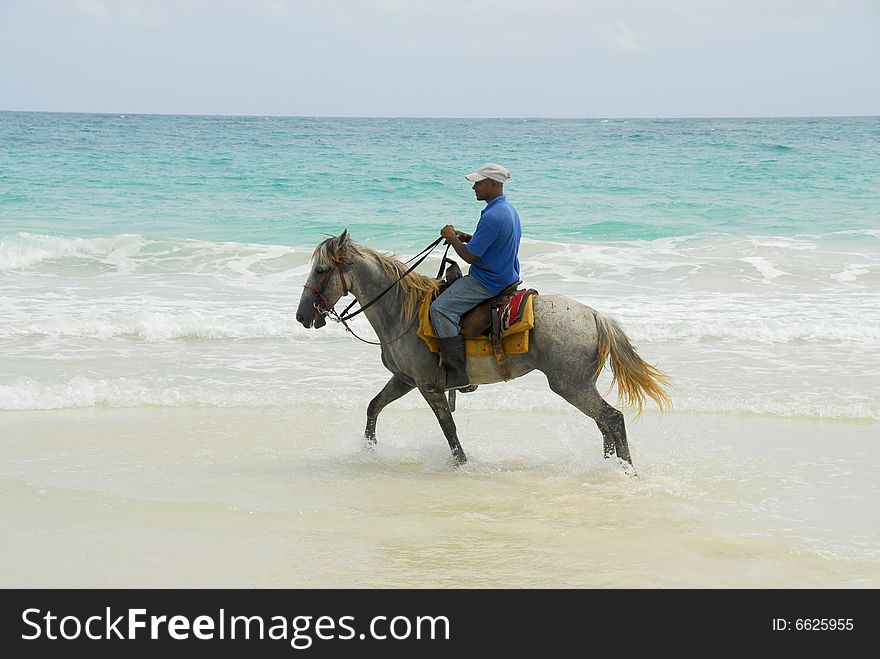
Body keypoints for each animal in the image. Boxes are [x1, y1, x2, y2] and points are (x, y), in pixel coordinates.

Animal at [298, 229, 672, 472]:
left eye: (321, 270)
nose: (303, 317)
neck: (402, 310)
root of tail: (594, 316)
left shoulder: (428, 386)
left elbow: (449, 430)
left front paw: (462, 466)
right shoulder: (405, 380)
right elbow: (374, 407)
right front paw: (369, 452)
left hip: (571, 385)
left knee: (612, 419)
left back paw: (626, 471)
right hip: (578, 385)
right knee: (603, 424)